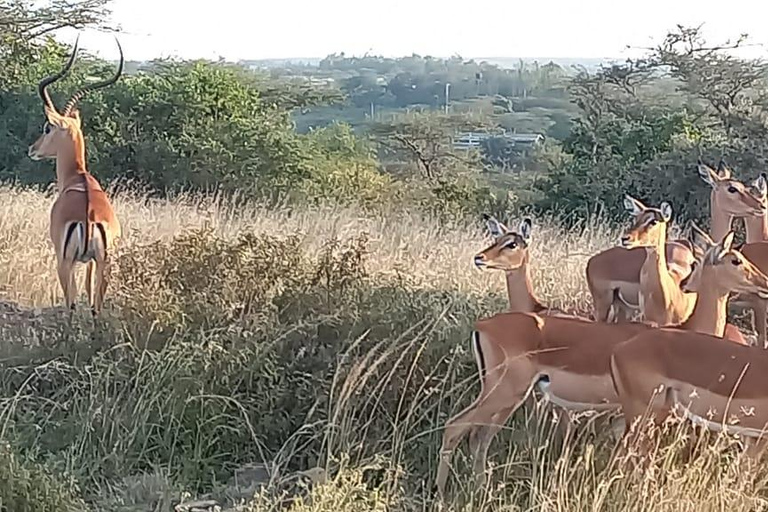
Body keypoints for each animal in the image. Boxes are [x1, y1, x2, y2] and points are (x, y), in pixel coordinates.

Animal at [27, 35, 123, 312]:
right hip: (103, 264)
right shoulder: (91, 262)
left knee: (70, 305)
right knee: (95, 308)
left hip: (65, 262)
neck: (77, 176)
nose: (32, 149)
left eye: (47, 127)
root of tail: (89, 218)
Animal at [432, 229, 760, 500]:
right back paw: (441, 492)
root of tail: (482, 325)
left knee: (479, 436)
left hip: (509, 398)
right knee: (456, 427)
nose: (761, 282)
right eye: (735, 259)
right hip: (505, 393)